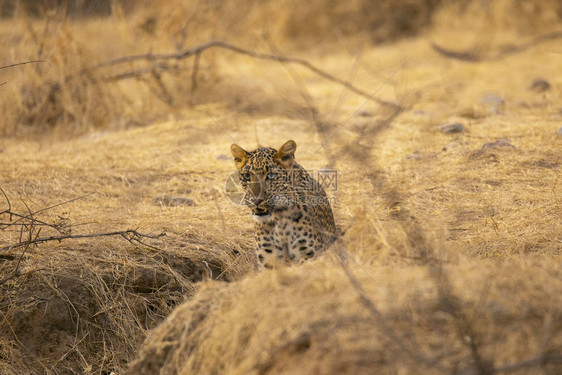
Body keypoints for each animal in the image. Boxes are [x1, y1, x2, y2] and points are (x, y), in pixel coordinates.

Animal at [230, 140, 334, 268]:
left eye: (271, 176)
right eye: (246, 176)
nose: (256, 200)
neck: (279, 219)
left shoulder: (310, 253)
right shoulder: (268, 258)